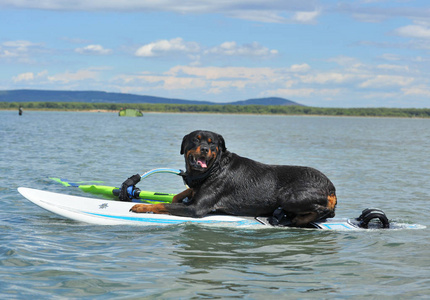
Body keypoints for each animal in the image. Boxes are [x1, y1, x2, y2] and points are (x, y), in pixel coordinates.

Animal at [129, 130, 338, 226]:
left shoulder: (196, 209)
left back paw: (295, 219)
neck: (213, 168)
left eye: (212, 144)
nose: (204, 149)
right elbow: (180, 194)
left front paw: (141, 206)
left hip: (289, 197)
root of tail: (331, 189)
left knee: (325, 210)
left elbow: (162, 204)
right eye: (195, 140)